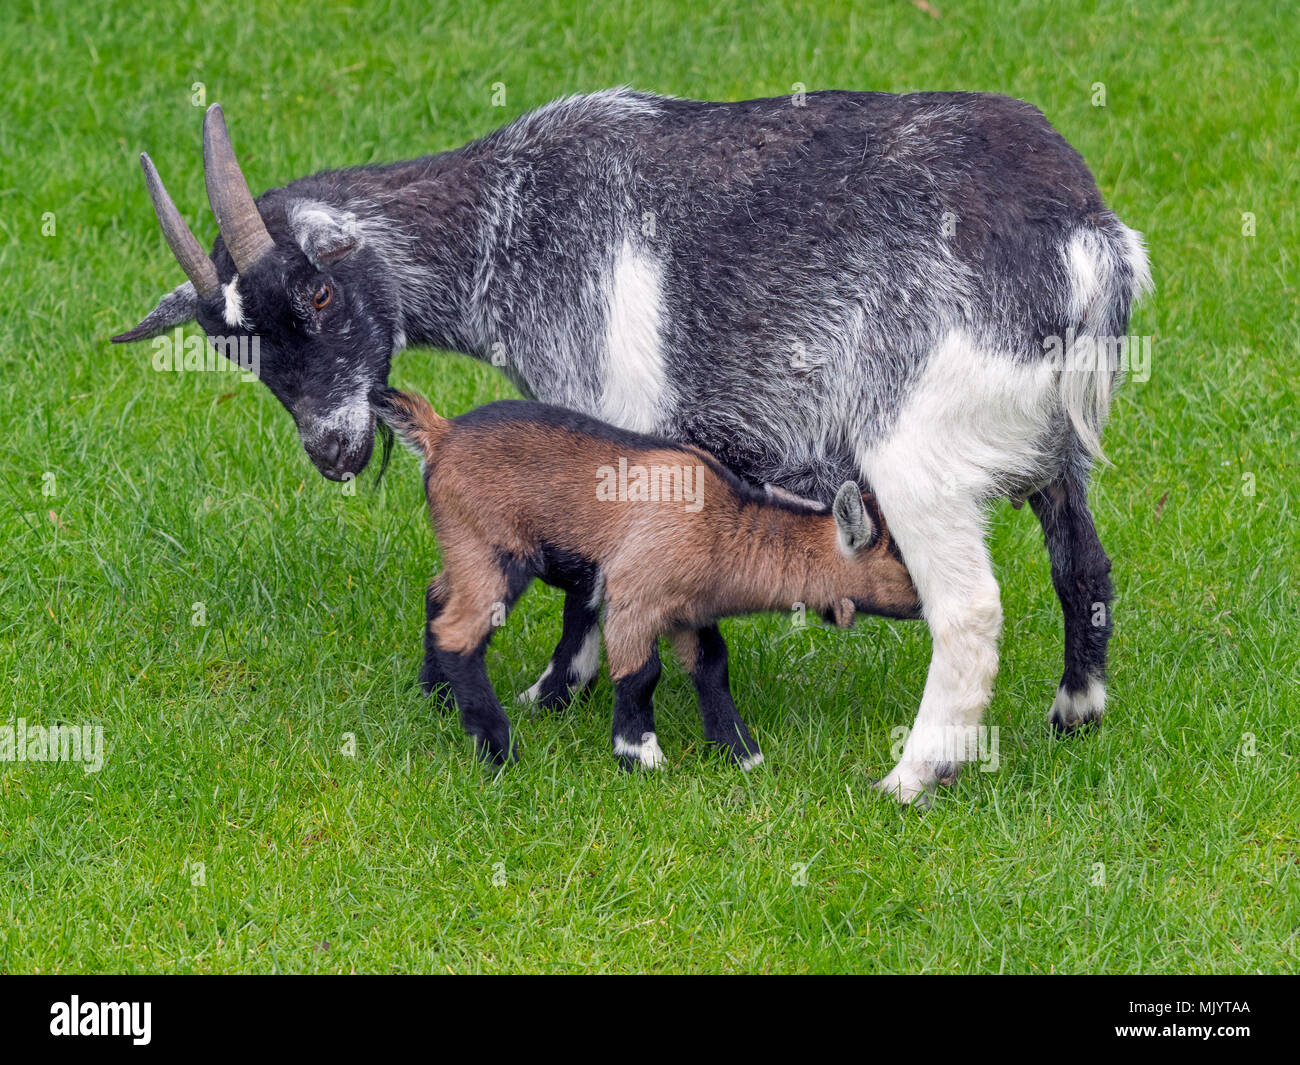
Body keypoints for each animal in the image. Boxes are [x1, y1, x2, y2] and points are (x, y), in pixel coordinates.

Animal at [369, 387, 920, 768]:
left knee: (437, 595)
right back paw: (499, 751)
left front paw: (741, 752)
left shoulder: (691, 612)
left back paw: (437, 697)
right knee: (459, 631)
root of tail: (441, 435)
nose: (926, 604)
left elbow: (713, 667)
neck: (720, 523)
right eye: (906, 559)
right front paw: (640, 754)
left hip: (464, 548)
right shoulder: (634, 596)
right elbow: (641, 673)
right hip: (491, 548)